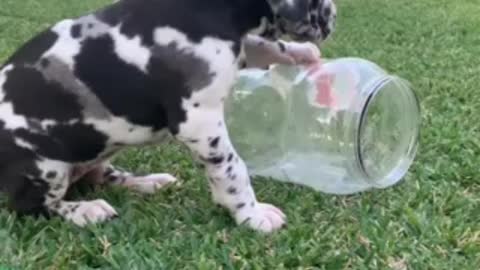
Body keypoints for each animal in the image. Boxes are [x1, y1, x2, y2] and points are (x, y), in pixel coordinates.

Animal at [0, 0, 336, 232]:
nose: (334, 14)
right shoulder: (200, 121)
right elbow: (232, 169)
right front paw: (252, 214)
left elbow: (258, 44)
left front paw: (300, 53)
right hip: (47, 168)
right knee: (34, 206)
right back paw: (86, 211)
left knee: (103, 177)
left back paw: (148, 182)